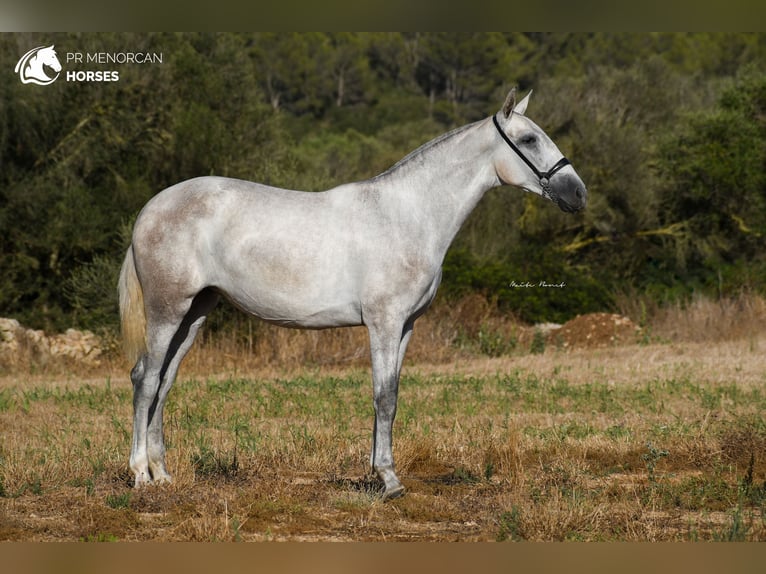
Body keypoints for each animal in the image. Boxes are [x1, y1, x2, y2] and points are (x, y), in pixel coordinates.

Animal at [118, 89, 588, 500]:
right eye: (529, 139)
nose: (578, 193)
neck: (406, 215)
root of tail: (150, 209)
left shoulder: (405, 326)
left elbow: (391, 396)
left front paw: (381, 472)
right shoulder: (384, 322)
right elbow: (384, 397)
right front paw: (390, 481)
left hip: (195, 312)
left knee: (164, 382)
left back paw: (163, 474)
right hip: (167, 310)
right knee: (145, 379)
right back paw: (140, 475)